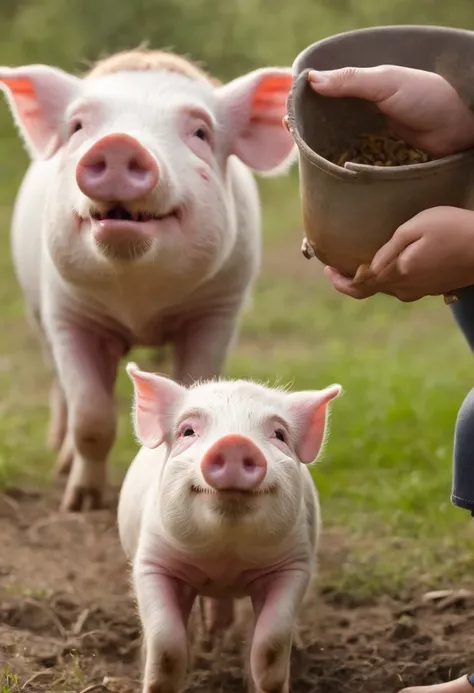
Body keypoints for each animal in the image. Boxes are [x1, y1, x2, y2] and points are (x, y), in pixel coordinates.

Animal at [0, 50, 296, 508]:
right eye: (78, 127)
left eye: (200, 132)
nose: (120, 143)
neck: (140, 304)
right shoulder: (66, 312)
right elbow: (91, 415)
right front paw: (80, 503)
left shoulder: (217, 311)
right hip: (37, 315)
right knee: (62, 391)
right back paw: (60, 464)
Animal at [118, 362, 340, 692]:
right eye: (187, 431)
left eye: (279, 434)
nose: (235, 442)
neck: (225, 558)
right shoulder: (152, 562)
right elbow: (167, 646)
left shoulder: (293, 565)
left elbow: (271, 646)